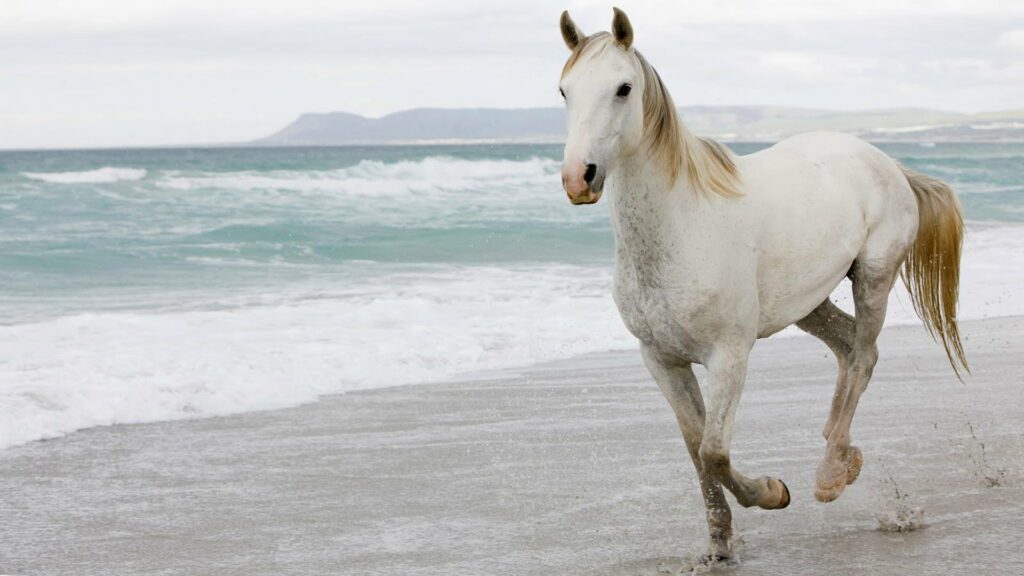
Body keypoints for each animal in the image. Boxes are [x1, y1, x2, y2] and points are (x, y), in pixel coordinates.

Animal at [557, 8, 968, 563]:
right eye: (565, 90)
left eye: (623, 88)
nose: (579, 177)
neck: (681, 226)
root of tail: (886, 162)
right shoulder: (661, 360)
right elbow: (695, 449)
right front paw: (718, 544)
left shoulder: (729, 355)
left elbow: (713, 450)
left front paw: (774, 493)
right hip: (809, 302)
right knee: (848, 347)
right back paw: (841, 453)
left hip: (874, 278)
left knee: (864, 355)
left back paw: (830, 474)